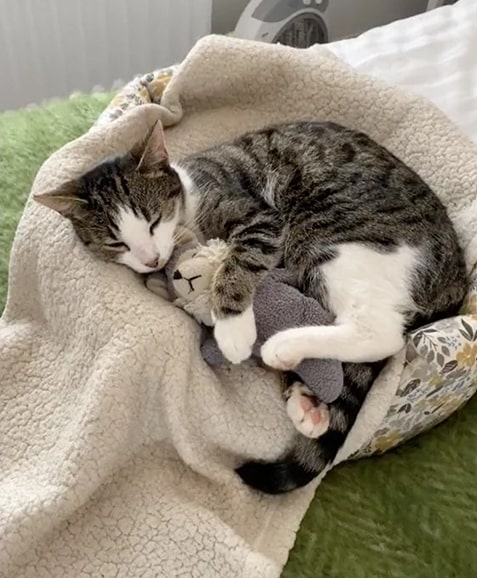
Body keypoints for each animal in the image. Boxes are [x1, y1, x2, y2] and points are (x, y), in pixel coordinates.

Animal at [35, 119, 466, 492]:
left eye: (154, 221)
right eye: (117, 243)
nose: (152, 258)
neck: (190, 205)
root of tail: (455, 277)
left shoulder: (258, 217)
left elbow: (240, 260)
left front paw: (231, 326)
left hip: (334, 236)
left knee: (379, 333)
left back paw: (283, 348)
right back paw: (308, 403)